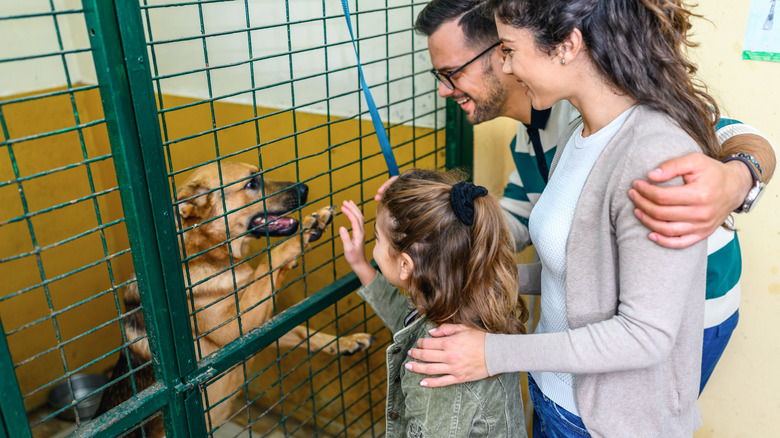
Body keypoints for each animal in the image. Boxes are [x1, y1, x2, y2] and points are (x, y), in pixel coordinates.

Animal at [97, 163, 374, 436]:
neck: (208, 253)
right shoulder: (233, 329)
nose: (304, 188)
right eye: (251, 183)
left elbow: (304, 331)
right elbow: (269, 259)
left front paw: (347, 342)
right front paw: (304, 231)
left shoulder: (257, 328)